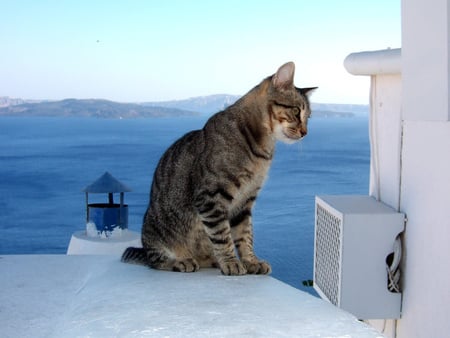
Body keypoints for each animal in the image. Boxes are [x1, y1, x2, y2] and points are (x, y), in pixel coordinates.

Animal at [121, 62, 314, 274]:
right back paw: (181, 261)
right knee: (156, 261)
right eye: (296, 111)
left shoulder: (245, 202)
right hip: (155, 228)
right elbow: (222, 236)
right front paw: (230, 262)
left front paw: (251, 261)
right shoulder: (211, 197)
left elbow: (245, 236)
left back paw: (211, 260)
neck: (262, 148)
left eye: (309, 116)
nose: (305, 132)